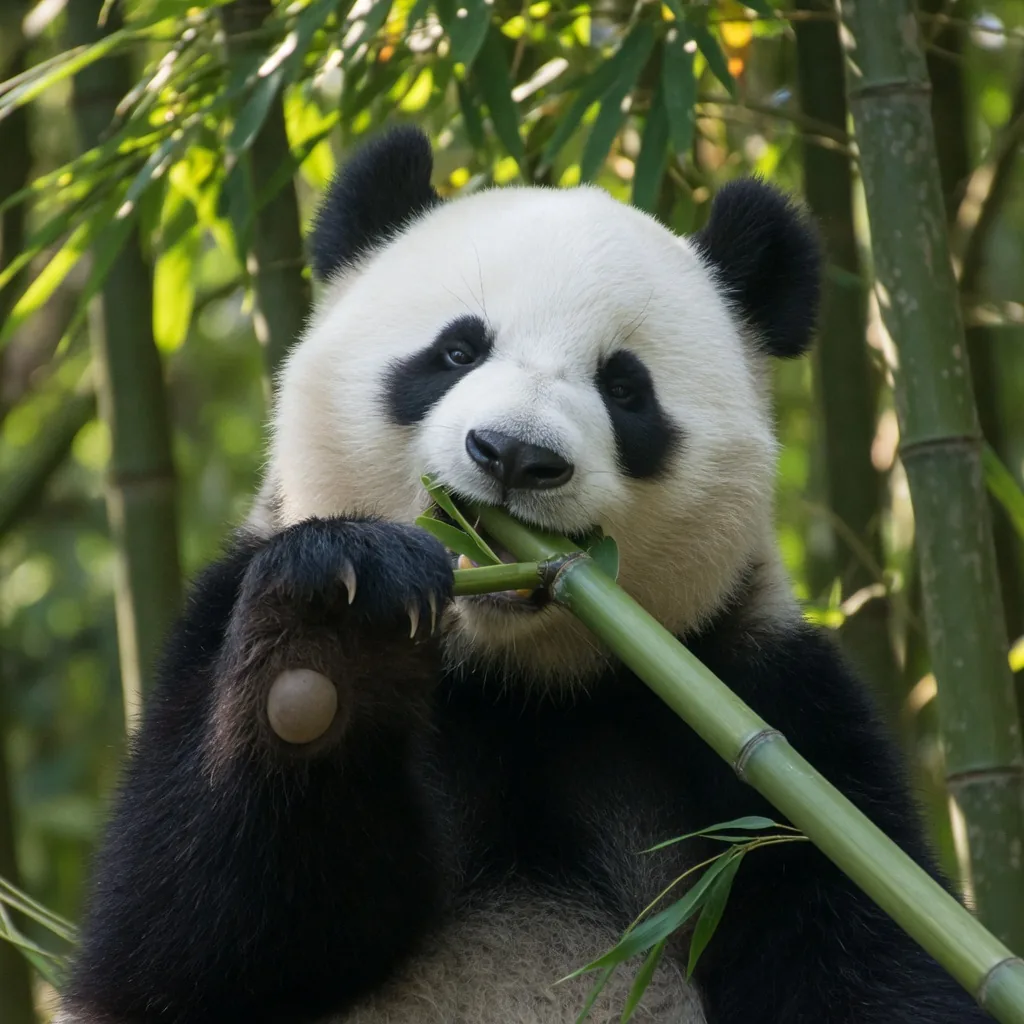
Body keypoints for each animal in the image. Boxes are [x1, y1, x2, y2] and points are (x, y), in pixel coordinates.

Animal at [59, 126, 988, 1024]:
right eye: (456, 350)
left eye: (626, 388)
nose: (514, 454)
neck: (512, 680)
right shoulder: (212, 625)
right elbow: (180, 941)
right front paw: (327, 644)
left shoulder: (772, 720)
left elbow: (870, 962)